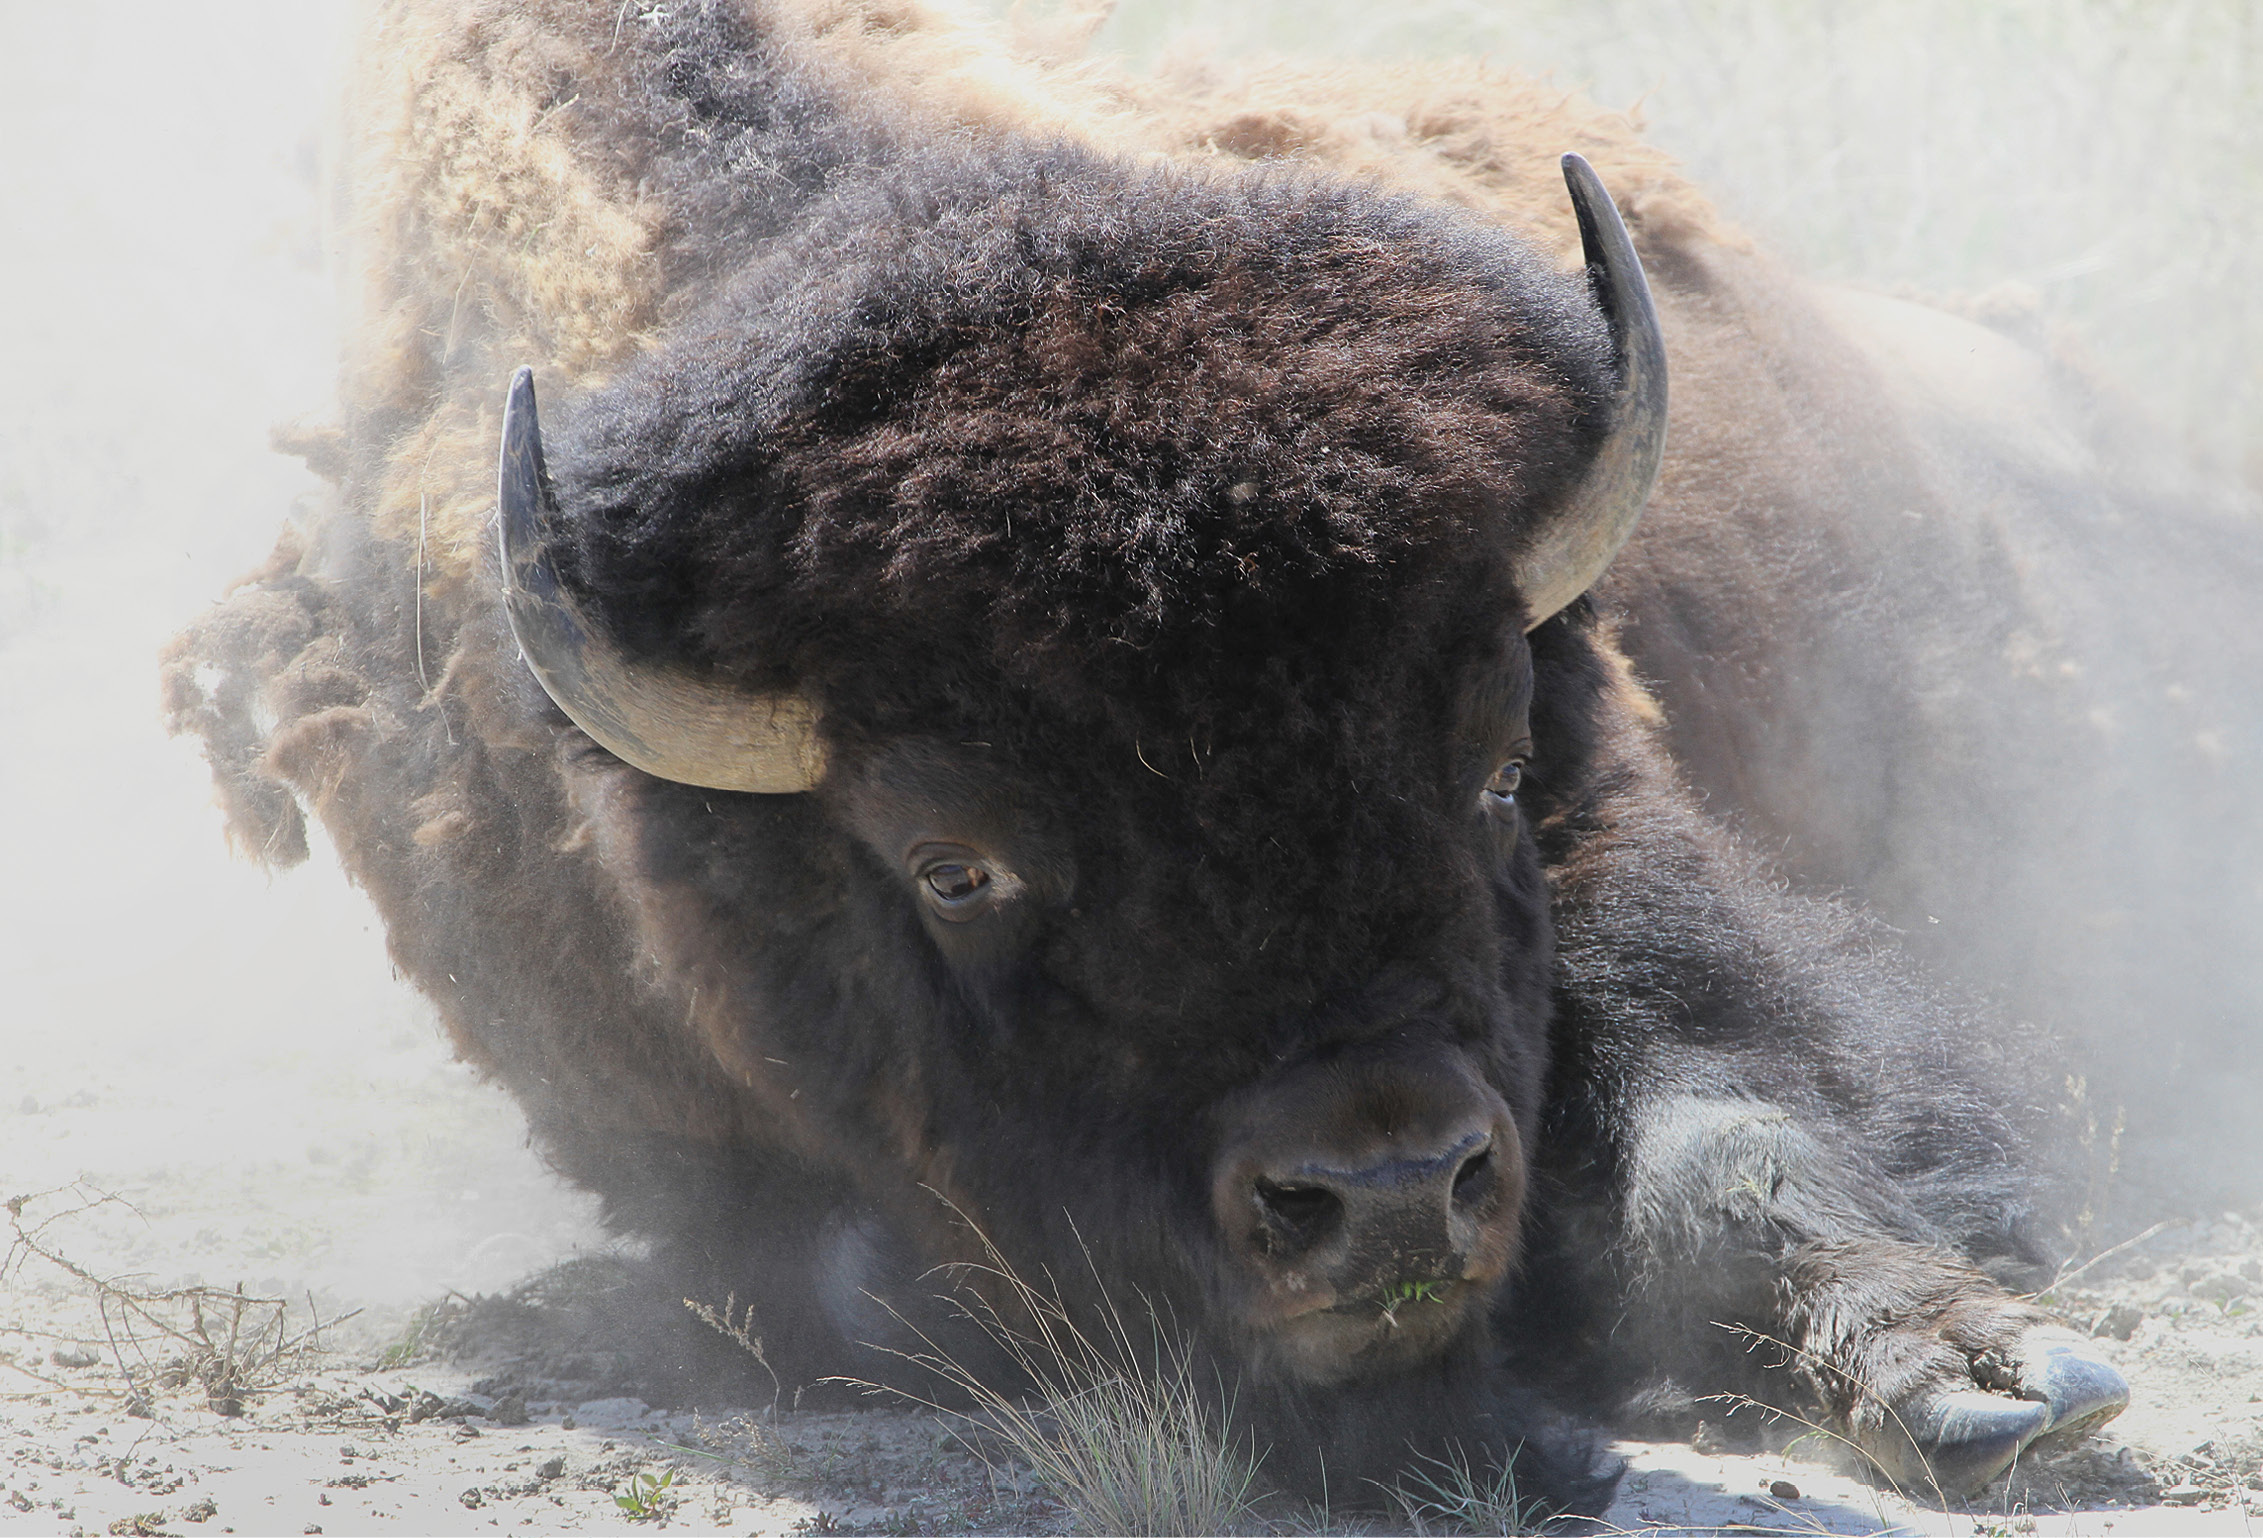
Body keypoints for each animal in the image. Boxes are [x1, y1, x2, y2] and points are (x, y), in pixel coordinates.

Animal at [164, 0, 2172, 1510]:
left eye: (1491, 768)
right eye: (952, 861)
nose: (1385, 1188)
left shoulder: (1620, 879)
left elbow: (1727, 1134)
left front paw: (1987, 1374)